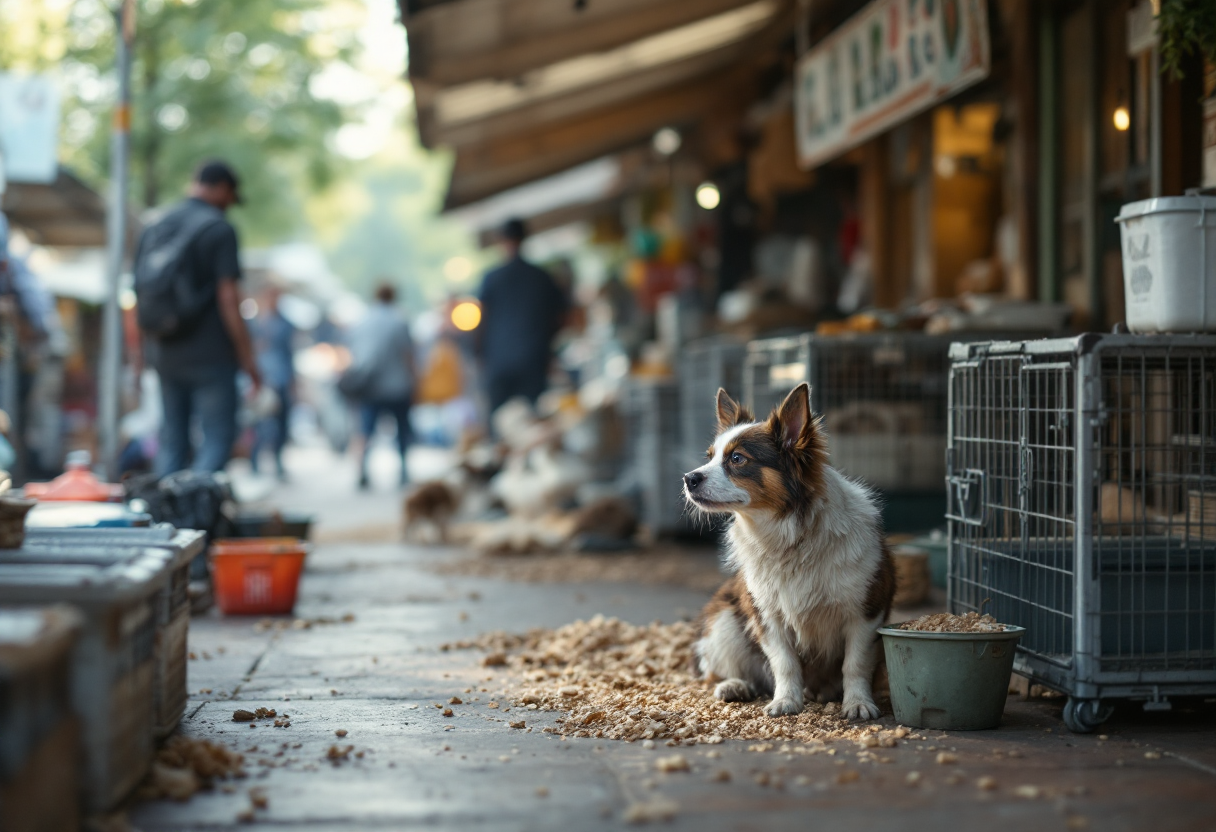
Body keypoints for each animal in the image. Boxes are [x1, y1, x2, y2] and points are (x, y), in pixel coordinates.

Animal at [685, 384, 894, 720]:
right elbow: (785, 664)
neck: (789, 535)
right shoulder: (767, 617)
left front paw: (858, 703)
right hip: (724, 621)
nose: (688, 478)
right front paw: (786, 701)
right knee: (719, 672)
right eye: (710, 457)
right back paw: (734, 686)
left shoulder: (865, 614)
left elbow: (855, 664)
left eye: (737, 458)